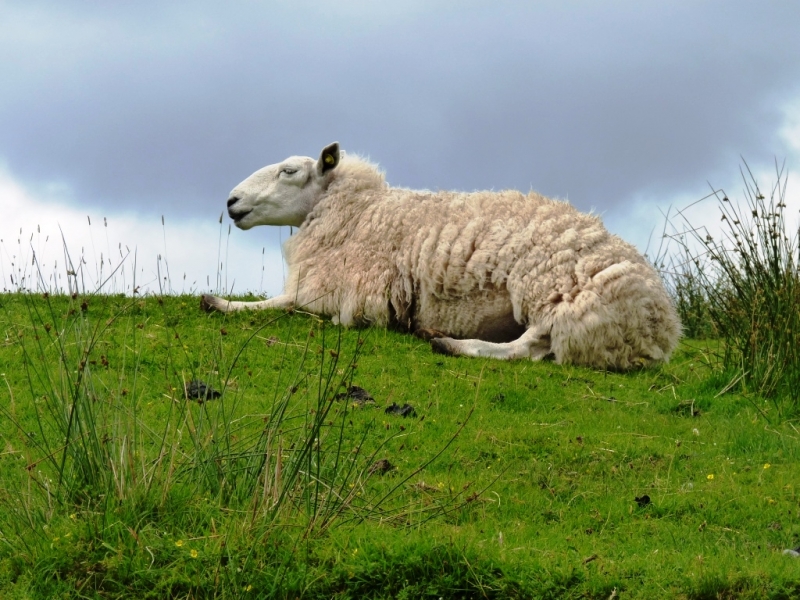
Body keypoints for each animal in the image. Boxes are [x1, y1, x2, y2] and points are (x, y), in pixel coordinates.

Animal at [202, 142, 680, 368]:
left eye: (288, 172)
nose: (231, 201)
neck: (362, 213)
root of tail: (658, 326)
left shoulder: (339, 290)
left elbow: (280, 303)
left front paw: (220, 302)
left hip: (560, 295)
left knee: (529, 347)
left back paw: (450, 343)